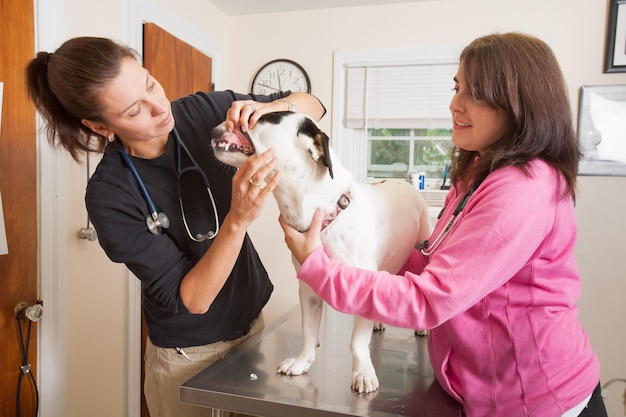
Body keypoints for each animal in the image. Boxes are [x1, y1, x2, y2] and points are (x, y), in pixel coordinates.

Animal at [210, 112, 428, 392]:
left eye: (265, 117)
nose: (219, 126)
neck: (325, 212)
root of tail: (404, 183)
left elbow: (357, 343)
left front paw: (362, 372)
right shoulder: (308, 290)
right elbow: (308, 332)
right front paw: (302, 361)